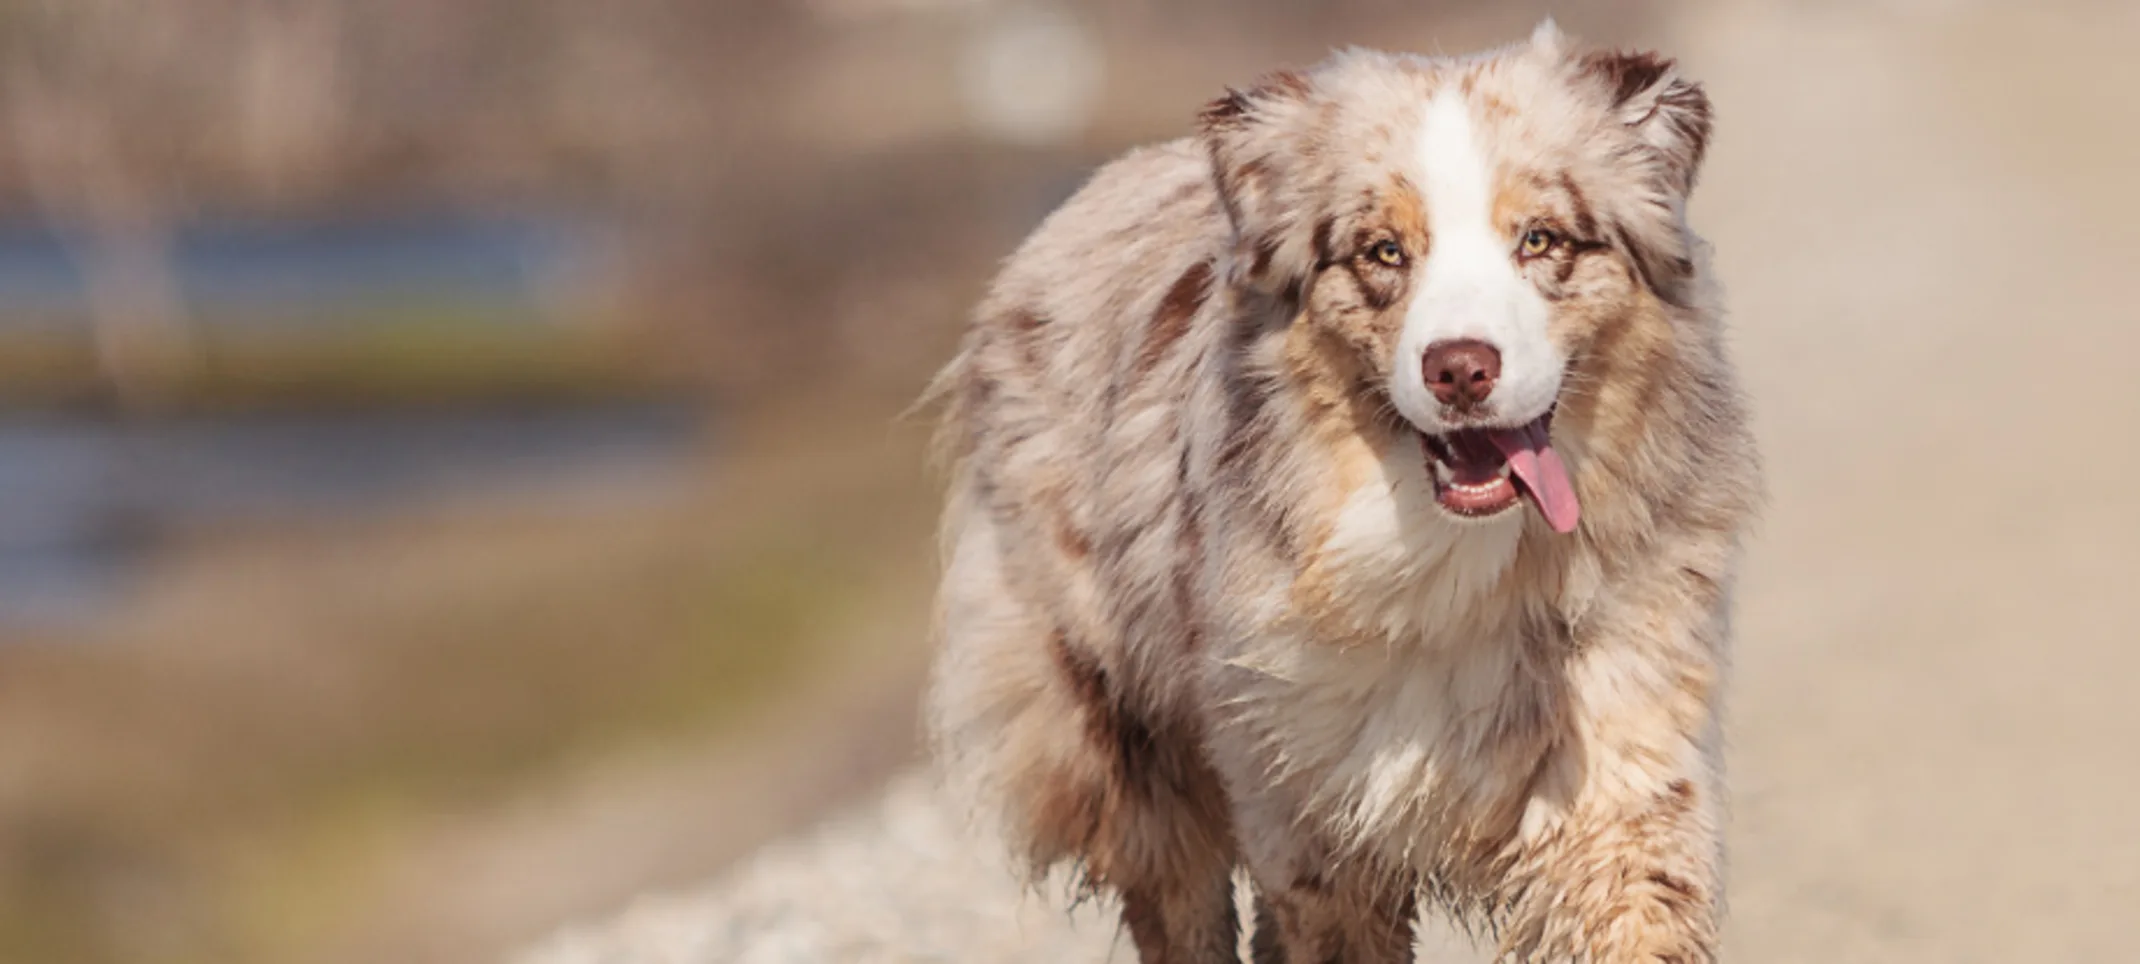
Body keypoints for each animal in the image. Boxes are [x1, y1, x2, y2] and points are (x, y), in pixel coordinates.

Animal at [920, 22, 1754, 964]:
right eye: (1383, 251)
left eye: (1540, 240)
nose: (1459, 368)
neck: (1454, 564)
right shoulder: (1315, 823)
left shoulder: (1617, 774)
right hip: (1127, 733)